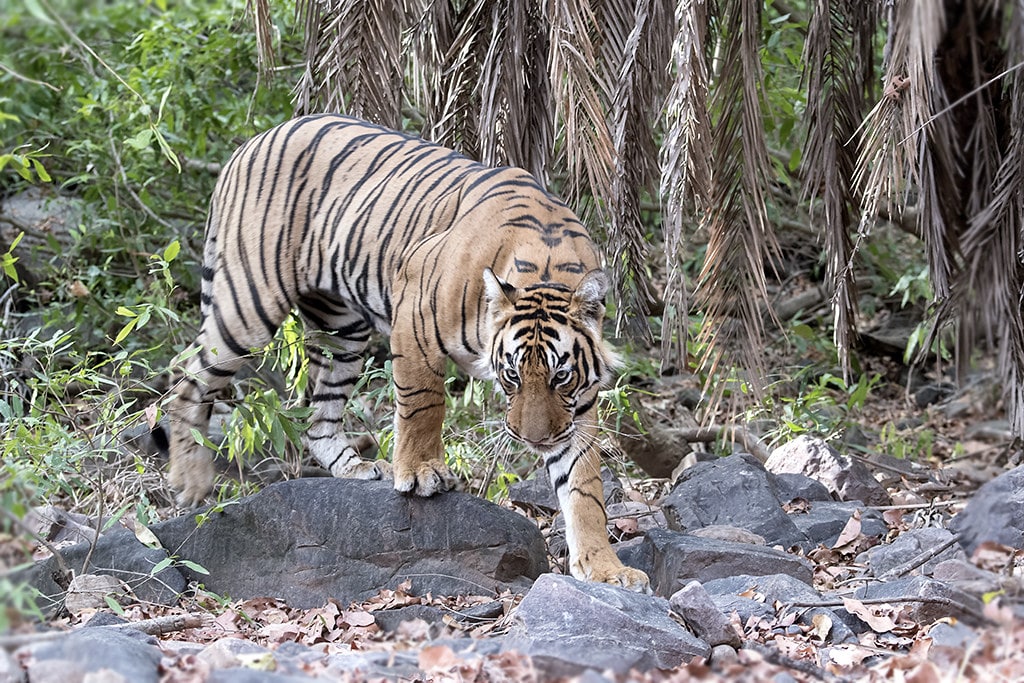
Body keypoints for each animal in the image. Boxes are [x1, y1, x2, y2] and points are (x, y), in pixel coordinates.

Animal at [165, 113, 647, 593]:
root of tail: (251, 143)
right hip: (249, 306)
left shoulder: (576, 407)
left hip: (342, 329)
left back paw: (355, 469)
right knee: (184, 375)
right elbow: (423, 404)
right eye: (511, 375)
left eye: (559, 377)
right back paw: (192, 482)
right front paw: (421, 473)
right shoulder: (413, 313)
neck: (546, 267)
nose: (533, 440)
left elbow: (584, 485)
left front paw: (605, 568)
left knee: (318, 418)